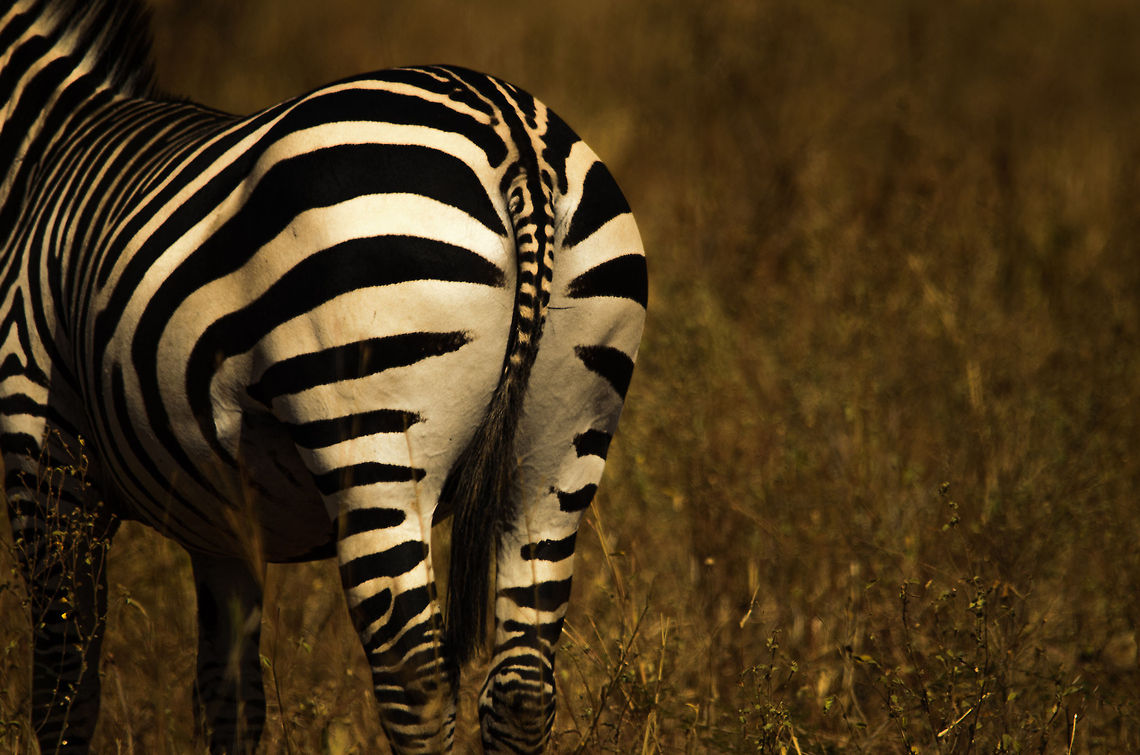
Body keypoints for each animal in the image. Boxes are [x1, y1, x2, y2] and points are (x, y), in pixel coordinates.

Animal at [0, 0, 646, 752]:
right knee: (522, 686)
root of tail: (515, 138)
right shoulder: (224, 517)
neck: (42, 146)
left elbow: (65, 688)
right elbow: (230, 695)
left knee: (417, 677)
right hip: (560, 447)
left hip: (372, 434)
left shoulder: (43, 451)